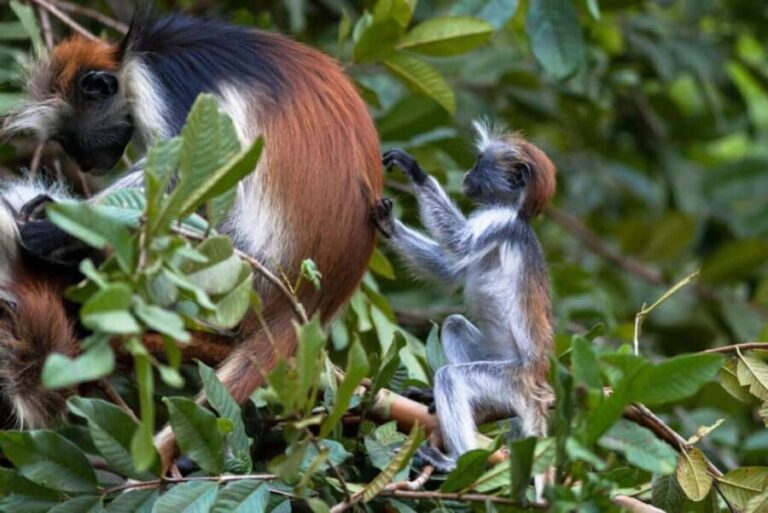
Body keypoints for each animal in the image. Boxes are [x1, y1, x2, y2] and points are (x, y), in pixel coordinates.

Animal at [0, 10, 381, 465]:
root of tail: (312, 300)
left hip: (237, 269)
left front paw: (52, 226)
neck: (134, 57)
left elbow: (185, 178)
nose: (85, 164)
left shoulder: (160, 87)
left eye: (73, 138)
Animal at [371, 122, 556, 480]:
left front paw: (415, 171)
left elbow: (458, 243)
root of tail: (536, 379)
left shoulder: (498, 221)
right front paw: (388, 224)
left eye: (480, 162)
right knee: (455, 325)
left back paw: (456, 460)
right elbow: (448, 272)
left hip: (508, 379)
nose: (468, 174)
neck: (516, 212)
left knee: (452, 377)